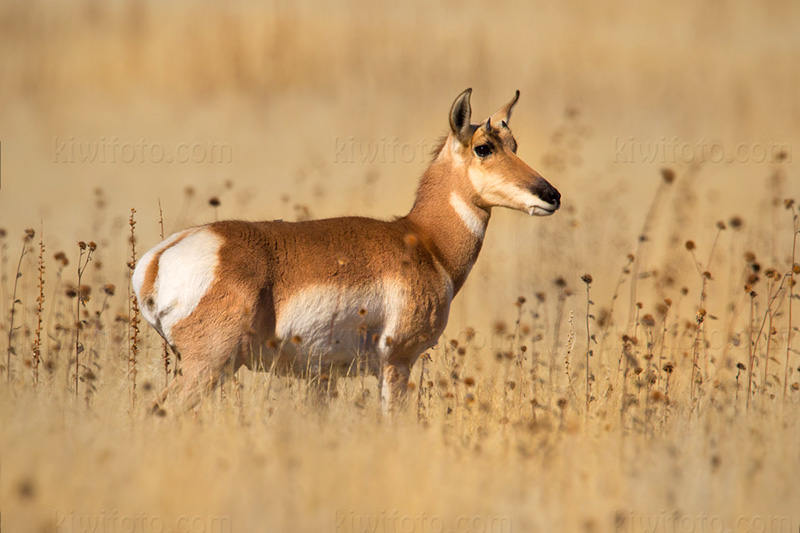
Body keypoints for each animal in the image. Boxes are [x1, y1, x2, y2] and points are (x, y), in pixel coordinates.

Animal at [133, 88, 556, 412]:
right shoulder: (396, 362)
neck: (424, 240)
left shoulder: (323, 376)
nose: (551, 195)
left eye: (514, 145)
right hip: (208, 366)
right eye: (483, 147)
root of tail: (156, 260)